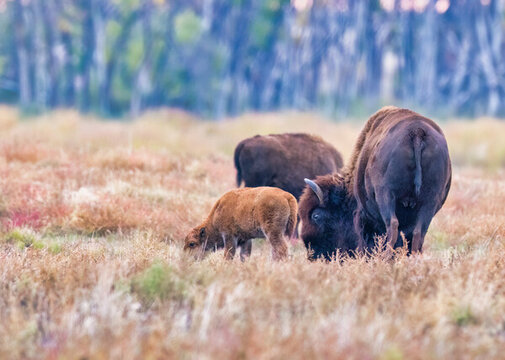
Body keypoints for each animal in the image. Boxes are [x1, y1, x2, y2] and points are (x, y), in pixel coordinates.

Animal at [300, 105, 452, 260]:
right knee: (418, 232)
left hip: (386, 195)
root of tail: (416, 132)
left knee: (392, 225)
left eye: (315, 216)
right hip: (430, 200)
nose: (313, 254)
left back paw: (385, 257)